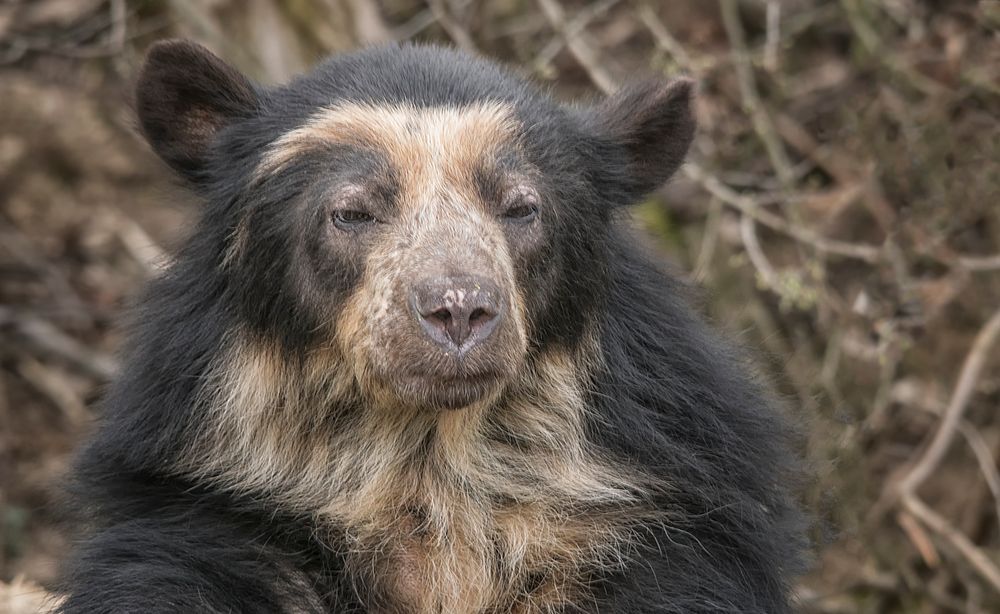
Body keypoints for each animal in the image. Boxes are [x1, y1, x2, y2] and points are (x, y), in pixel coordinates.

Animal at [54, 41, 808, 612]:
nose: (459, 308)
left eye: (522, 207)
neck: (429, 471)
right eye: (351, 212)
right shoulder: (215, 515)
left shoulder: (651, 528)